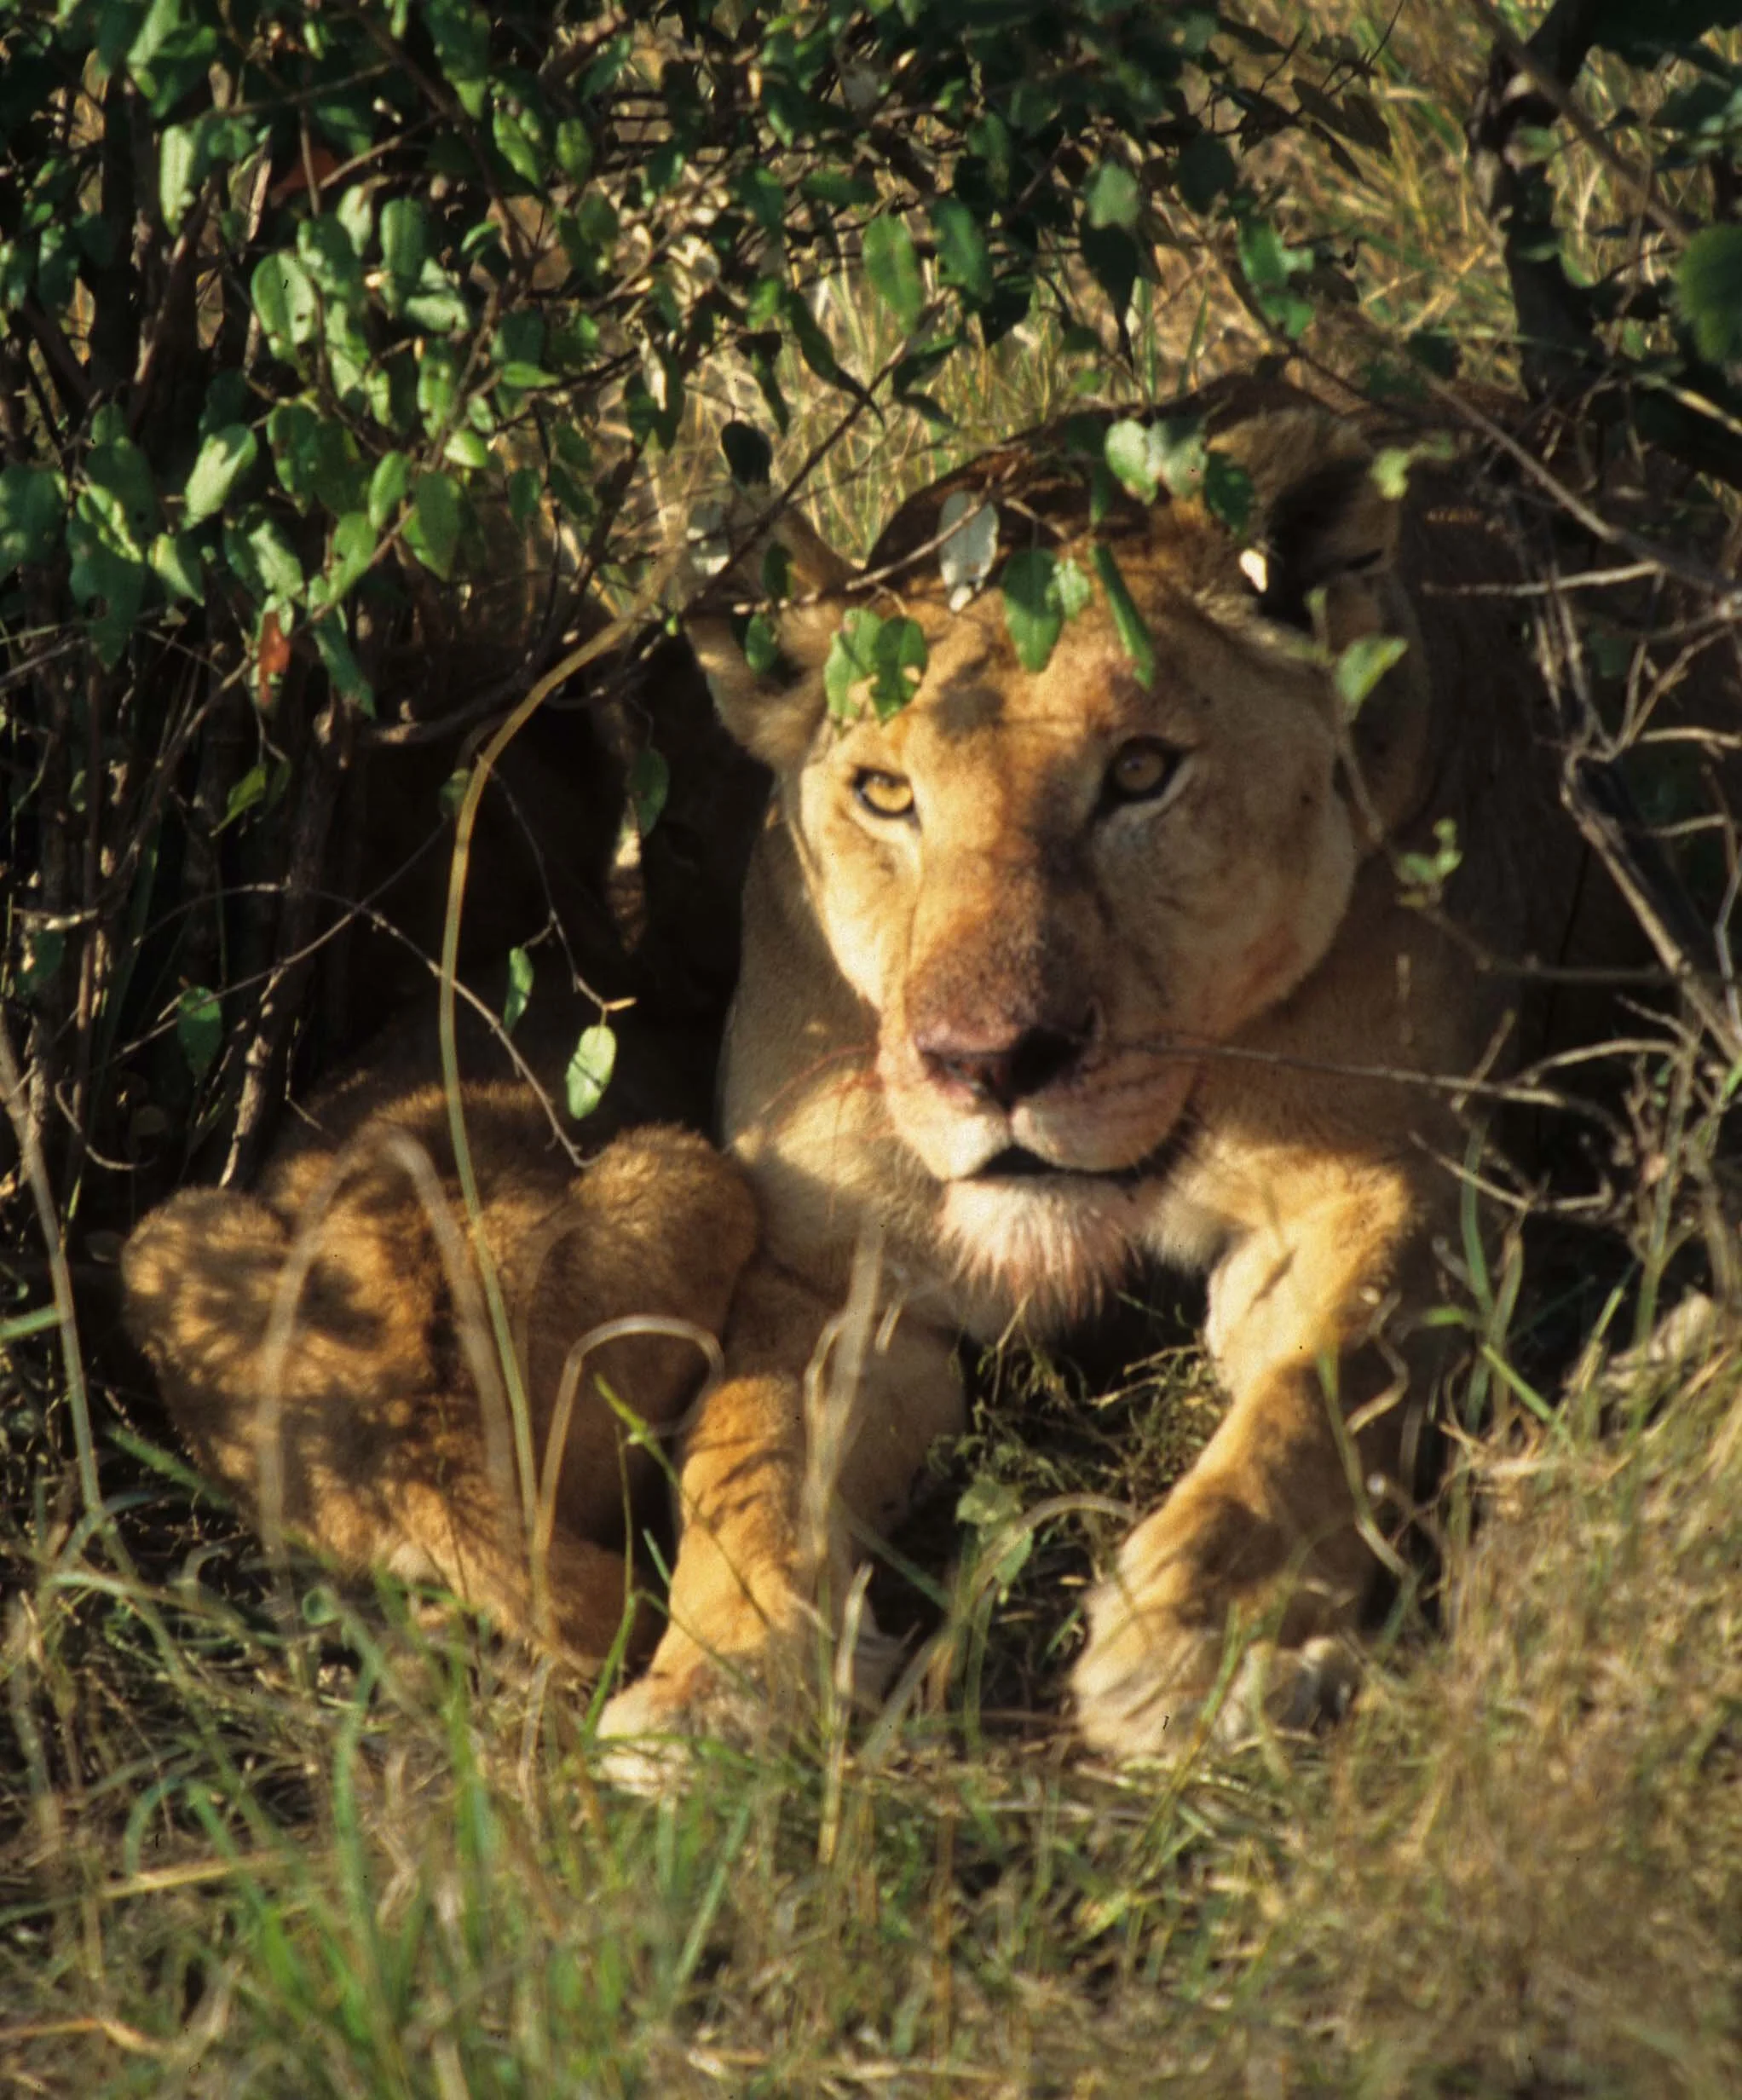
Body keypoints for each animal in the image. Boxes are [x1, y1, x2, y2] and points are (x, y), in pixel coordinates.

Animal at [596, 380, 1616, 1760]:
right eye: (885, 793)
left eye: (1139, 773)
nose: (989, 1065)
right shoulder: (824, 1265)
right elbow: (741, 1460)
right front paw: (713, 1685)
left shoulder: (1386, 1189)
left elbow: (1313, 1396)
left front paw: (1194, 1639)